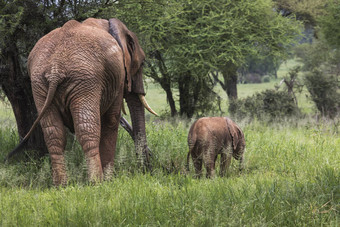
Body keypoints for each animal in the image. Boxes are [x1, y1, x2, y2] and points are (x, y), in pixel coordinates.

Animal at [6, 18, 158, 186]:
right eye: (142, 63)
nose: (147, 170)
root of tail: (55, 68)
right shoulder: (117, 76)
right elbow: (111, 120)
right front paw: (109, 180)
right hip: (85, 81)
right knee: (87, 129)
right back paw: (96, 182)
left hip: (40, 84)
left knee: (54, 133)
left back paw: (61, 185)